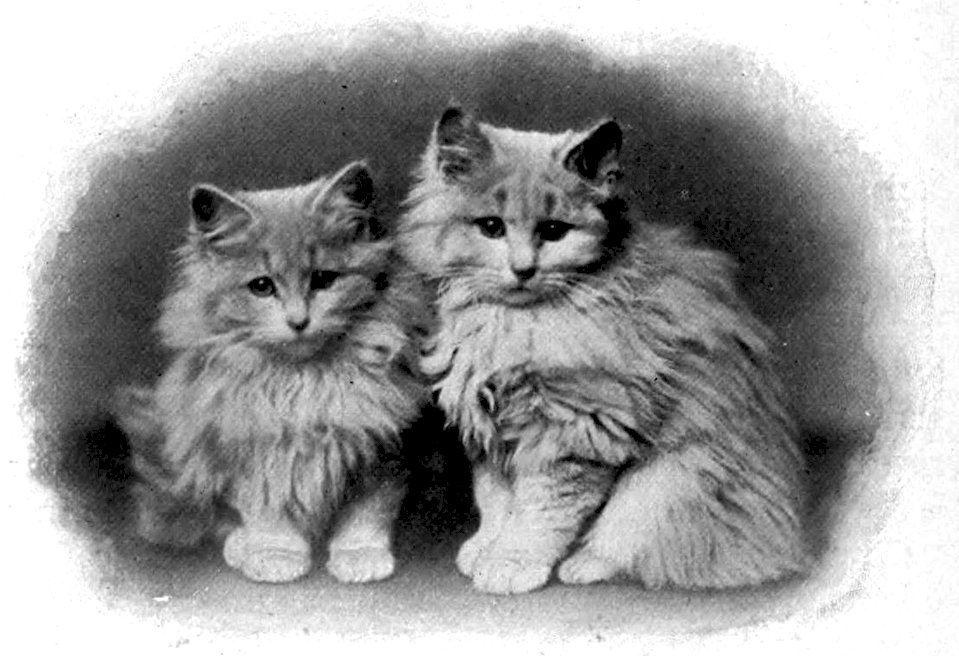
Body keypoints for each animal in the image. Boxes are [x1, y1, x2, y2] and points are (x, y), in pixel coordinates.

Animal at [116, 161, 427, 584]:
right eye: (262, 286)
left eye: (323, 279)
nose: (298, 321)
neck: (304, 380)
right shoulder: (250, 448)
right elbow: (267, 514)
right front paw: (275, 556)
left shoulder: (383, 448)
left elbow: (366, 514)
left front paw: (360, 557)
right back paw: (240, 546)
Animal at [399, 108, 810, 595]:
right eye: (491, 228)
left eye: (553, 231)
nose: (523, 270)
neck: (511, 325)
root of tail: (790, 537)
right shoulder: (489, 430)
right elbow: (497, 500)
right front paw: (486, 547)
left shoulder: (574, 434)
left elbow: (539, 515)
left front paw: (512, 563)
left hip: (670, 480)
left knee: (641, 544)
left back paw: (585, 563)